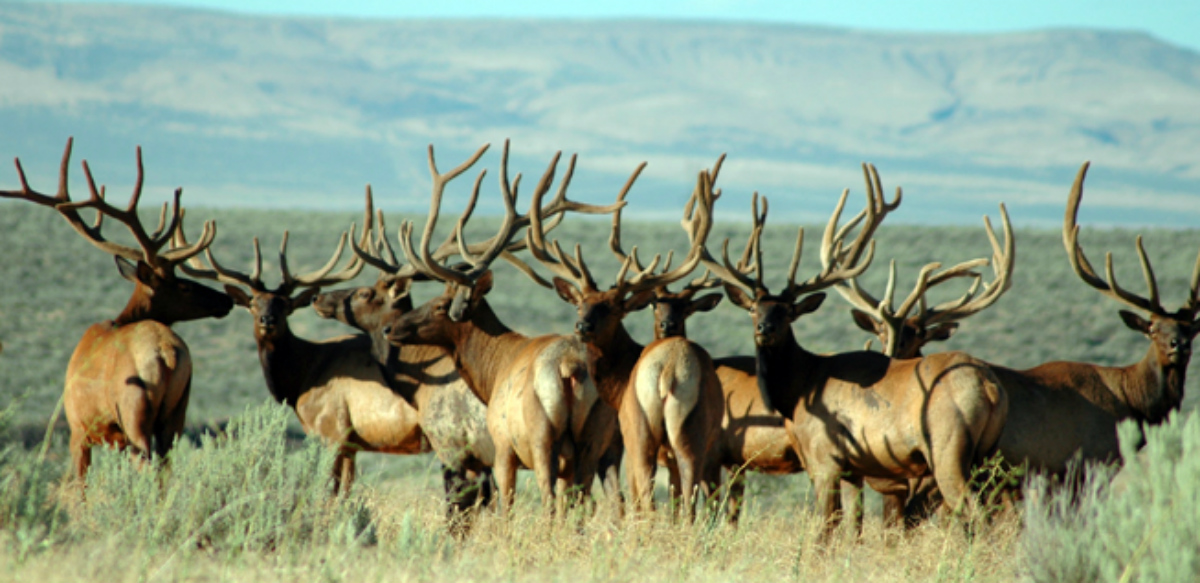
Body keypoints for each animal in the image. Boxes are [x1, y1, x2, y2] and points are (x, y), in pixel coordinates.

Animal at [0, 138, 234, 480]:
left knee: (146, 463)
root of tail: (167, 354)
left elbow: (79, 484)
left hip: (133, 411)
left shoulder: (78, 428)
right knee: (166, 466)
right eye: (184, 286)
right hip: (177, 411)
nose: (227, 300)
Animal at [171, 195, 436, 495]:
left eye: (286, 304)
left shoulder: (331, 431)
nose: (267, 320)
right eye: (253, 303)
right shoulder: (351, 444)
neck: (303, 376)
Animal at [379, 141, 627, 513]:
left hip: (541, 437)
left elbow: (502, 508)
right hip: (595, 440)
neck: (493, 368)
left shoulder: (502, 449)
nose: (391, 329)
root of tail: (570, 367)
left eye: (440, 304)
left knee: (549, 500)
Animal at [702, 166, 1008, 536]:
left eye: (788, 312)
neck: (797, 392)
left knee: (978, 515)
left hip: (948, 449)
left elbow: (826, 527)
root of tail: (991, 389)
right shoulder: (853, 468)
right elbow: (851, 528)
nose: (764, 329)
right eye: (752, 309)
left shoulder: (825, 459)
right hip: (987, 455)